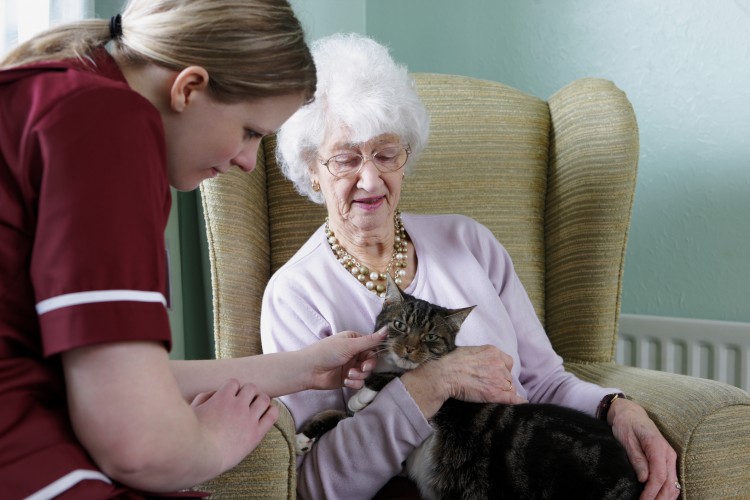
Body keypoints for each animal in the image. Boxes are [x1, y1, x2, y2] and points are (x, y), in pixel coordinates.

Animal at [296, 278, 644, 500]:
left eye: (430, 337)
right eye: (399, 325)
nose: (408, 348)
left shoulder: (444, 401)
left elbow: (392, 380)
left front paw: (364, 392)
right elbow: (339, 414)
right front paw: (305, 436)